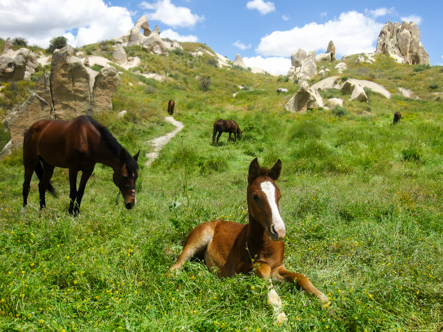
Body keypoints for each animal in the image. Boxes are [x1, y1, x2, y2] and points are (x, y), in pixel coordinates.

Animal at [170, 158, 330, 322]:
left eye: (279, 196)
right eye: (255, 196)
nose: (279, 231)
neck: (265, 245)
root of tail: (212, 222)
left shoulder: (278, 267)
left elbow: (301, 277)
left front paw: (323, 299)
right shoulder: (240, 268)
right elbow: (263, 268)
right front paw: (279, 313)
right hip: (198, 240)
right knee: (175, 267)